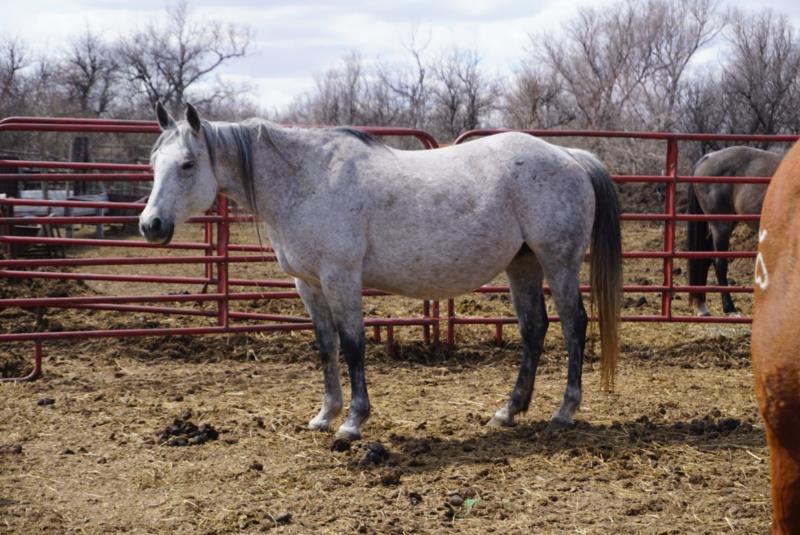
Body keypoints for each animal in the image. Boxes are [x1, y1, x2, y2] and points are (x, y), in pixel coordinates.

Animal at [141, 103, 620, 444]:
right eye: (153, 163)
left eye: (187, 164)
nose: (151, 226)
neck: (306, 181)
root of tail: (569, 155)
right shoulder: (308, 284)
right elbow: (326, 346)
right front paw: (325, 415)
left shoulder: (341, 277)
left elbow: (353, 345)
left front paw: (353, 422)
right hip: (522, 264)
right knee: (533, 328)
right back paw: (509, 411)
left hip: (558, 261)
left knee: (574, 325)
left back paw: (563, 413)